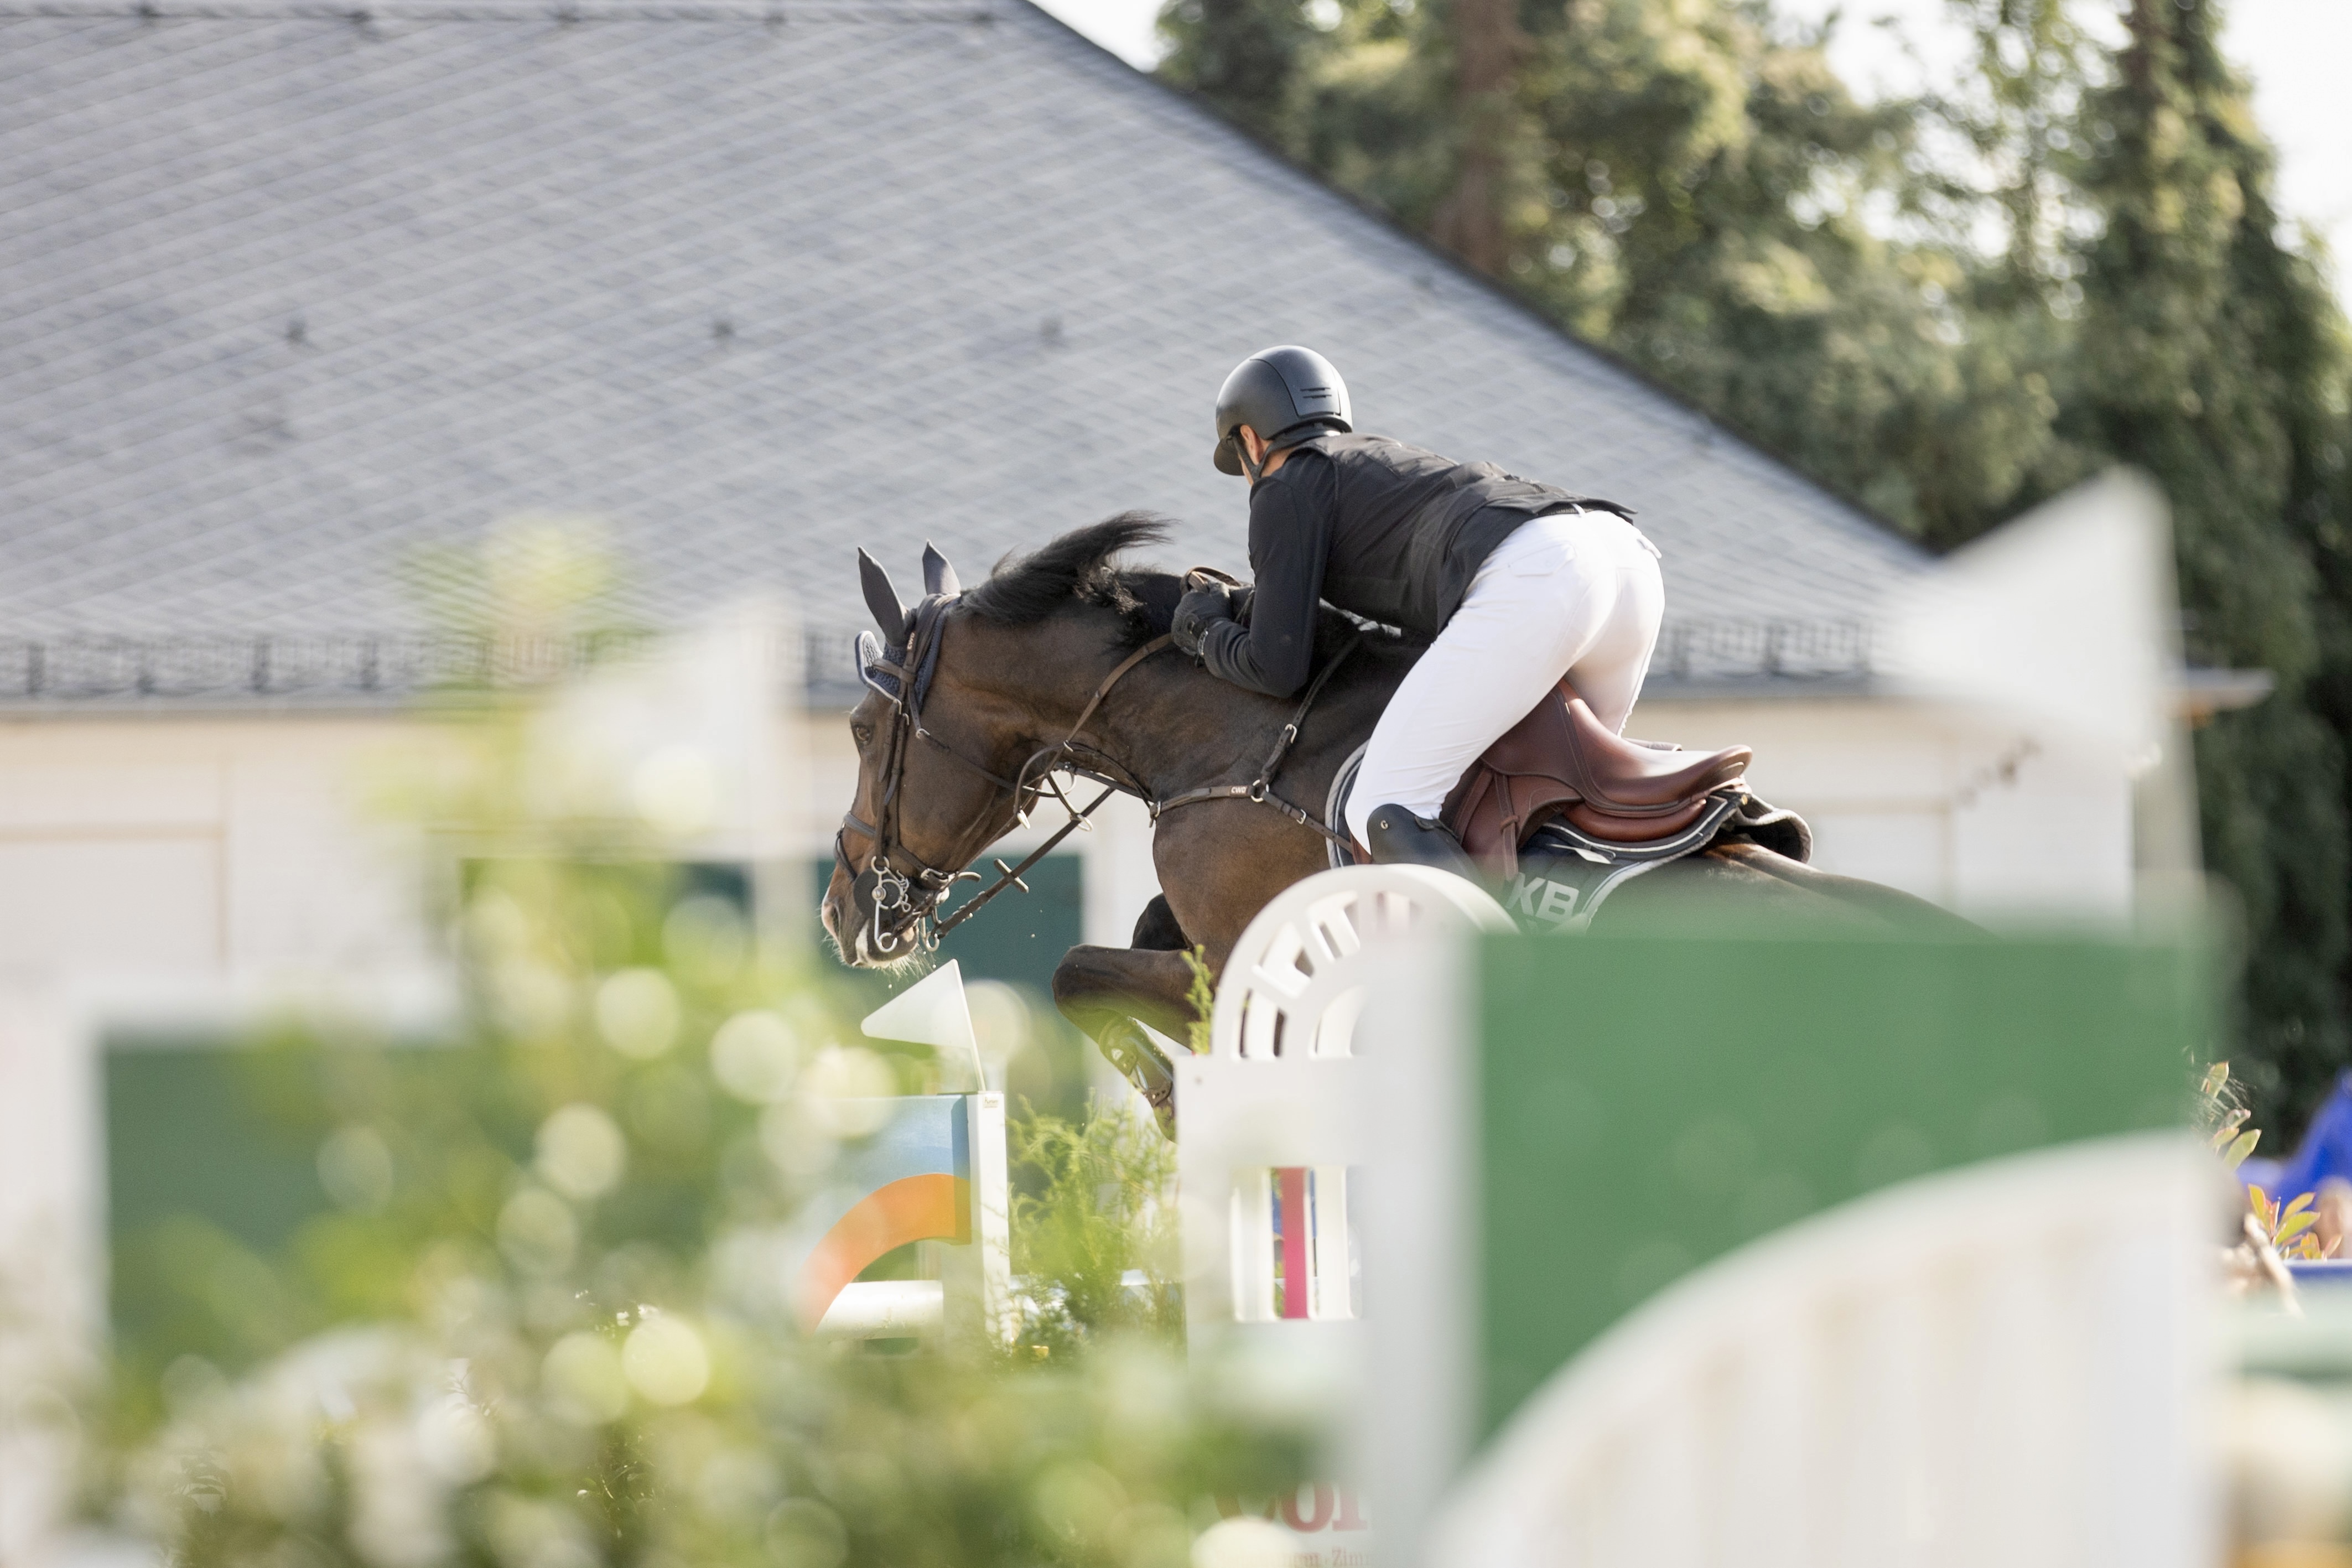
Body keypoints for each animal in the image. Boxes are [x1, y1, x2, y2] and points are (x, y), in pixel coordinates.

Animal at [820, 514, 1971, 1117]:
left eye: (864, 728)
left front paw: (1174, 1105)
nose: (841, 909)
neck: (1242, 741)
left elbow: (1076, 972)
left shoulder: (1237, 955)